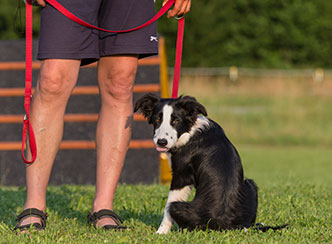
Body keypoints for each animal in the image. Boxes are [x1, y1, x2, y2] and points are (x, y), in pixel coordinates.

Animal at [135, 94, 286, 234]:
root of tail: (227, 225)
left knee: (172, 209)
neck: (189, 131)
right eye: (157, 119)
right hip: (251, 185)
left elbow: (166, 210)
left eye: (176, 120)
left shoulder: (181, 177)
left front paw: (160, 233)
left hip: (177, 206)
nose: (161, 142)